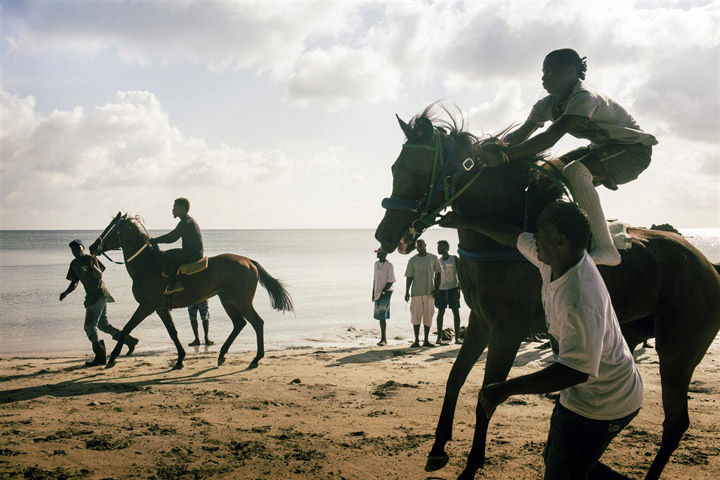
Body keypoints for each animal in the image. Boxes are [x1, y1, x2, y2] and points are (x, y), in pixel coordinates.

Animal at [89, 212, 292, 370]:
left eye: (109, 228)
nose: (93, 246)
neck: (147, 265)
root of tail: (249, 261)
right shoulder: (160, 308)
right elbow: (173, 332)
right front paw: (180, 359)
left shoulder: (146, 306)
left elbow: (126, 329)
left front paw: (112, 358)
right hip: (227, 299)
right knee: (239, 323)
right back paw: (222, 354)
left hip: (241, 300)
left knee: (257, 323)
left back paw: (256, 358)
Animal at [374, 106, 720, 480]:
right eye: (394, 168)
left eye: (416, 171)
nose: (385, 235)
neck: (501, 240)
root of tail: (708, 265)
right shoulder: (481, 322)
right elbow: (455, 379)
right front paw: (439, 447)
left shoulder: (508, 331)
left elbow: (486, 396)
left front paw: (471, 466)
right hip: (634, 336)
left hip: (678, 352)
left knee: (675, 423)